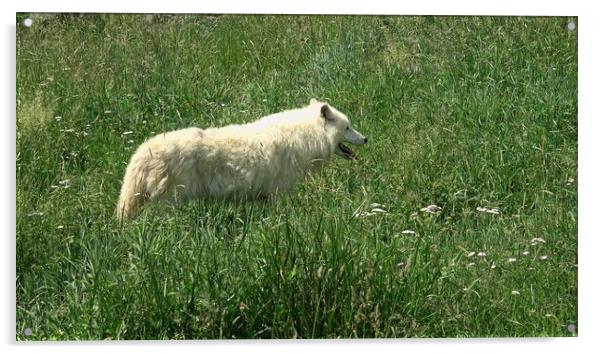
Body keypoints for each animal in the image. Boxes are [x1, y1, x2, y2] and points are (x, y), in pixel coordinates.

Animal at [115, 99, 364, 220]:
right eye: (348, 127)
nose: (366, 138)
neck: (305, 135)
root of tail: (140, 153)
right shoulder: (279, 193)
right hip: (169, 203)